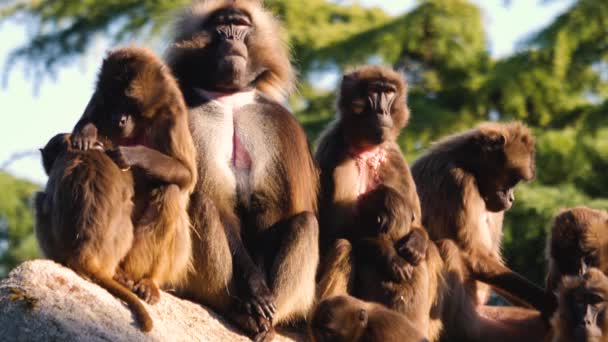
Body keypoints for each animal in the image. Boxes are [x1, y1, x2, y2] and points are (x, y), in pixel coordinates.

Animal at [71, 46, 196, 304]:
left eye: (129, 102)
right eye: (114, 99)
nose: (119, 119)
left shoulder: (173, 115)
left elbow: (188, 176)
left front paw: (134, 155)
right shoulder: (98, 101)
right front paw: (87, 132)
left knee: (169, 190)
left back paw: (148, 280)